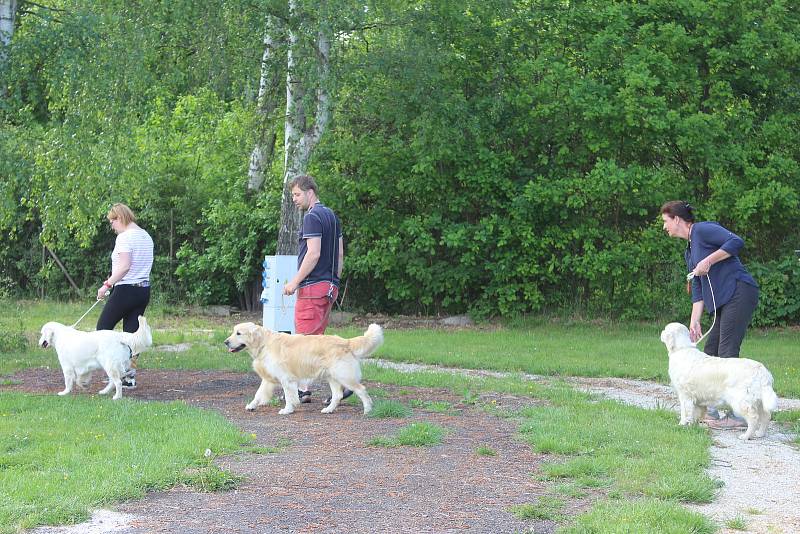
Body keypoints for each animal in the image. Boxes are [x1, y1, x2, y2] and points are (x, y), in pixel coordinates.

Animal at [222, 324, 384, 416]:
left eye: (239, 333)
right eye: (233, 331)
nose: (225, 342)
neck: (264, 343)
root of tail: (346, 341)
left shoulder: (286, 378)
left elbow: (289, 396)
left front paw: (287, 410)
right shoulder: (268, 379)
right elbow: (258, 394)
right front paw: (251, 406)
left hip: (344, 376)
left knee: (361, 389)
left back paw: (367, 410)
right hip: (332, 377)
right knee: (337, 395)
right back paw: (328, 410)